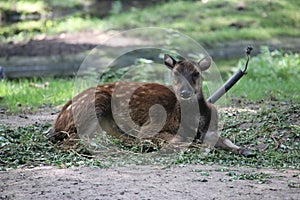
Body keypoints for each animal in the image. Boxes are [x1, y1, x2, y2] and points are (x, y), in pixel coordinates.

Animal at [47, 54, 252, 156]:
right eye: (175, 74)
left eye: (196, 73)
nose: (185, 93)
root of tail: (58, 121)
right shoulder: (152, 126)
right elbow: (180, 141)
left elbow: (223, 140)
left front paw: (245, 150)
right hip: (93, 105)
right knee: (71, 141)